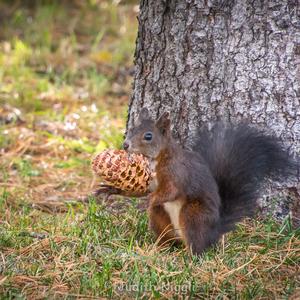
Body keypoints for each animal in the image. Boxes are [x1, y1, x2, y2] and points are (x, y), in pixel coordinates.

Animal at [97, 108, 296, 255]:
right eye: (131, 130)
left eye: (148, 136)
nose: (125, 145)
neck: (156, 159)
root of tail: (214, 232)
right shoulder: (150, 179)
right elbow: (143, 189)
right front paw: (111, 189)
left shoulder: (176, 173)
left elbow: (170, 191)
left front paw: (150, 200)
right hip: (161, 219)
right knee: (170, 238)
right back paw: (158, 249)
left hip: (192, 214)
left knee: (197, 247)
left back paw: (187, 257)